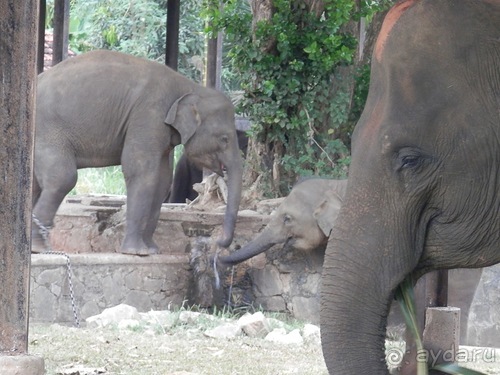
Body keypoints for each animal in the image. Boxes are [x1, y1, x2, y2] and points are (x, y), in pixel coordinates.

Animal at [32, 50, 243, 256]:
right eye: (224, 139)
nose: (219, 244)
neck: (191, 87)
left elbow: (163, 179)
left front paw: (152, 250)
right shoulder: (149, 114)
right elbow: (141, 171)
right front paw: (136, 252)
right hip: (47, 132)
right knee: (63, 178)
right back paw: (40, 247)